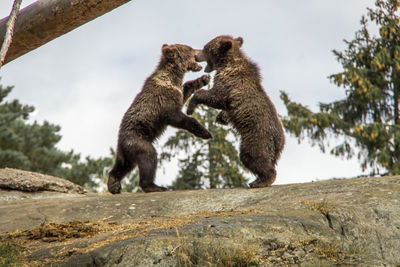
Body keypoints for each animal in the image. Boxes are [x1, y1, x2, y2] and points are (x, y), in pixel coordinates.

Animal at [108, 44, 211, 195]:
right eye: (190, 48)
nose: (200, 50)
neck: (172, 76)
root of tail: (120, 141)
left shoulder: (176, 92)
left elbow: (184, 91)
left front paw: (204, 79)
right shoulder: (164, 101)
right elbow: (177, 117)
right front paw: (205, 132)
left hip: (126, 152)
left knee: (122, 166)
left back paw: (114, 184)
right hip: (138, 140)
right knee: (149, 158)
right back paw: (155, 186)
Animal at [188, 35, 284, 189]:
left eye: (205, 48)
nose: (196, 55)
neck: (227, 64)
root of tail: (279, 143)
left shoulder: (229, 82)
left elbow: (215, 96)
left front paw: (191, 105)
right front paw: (221, 117)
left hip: (257, 137)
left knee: (251, 156)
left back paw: (261, 180)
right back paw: (257, 179)